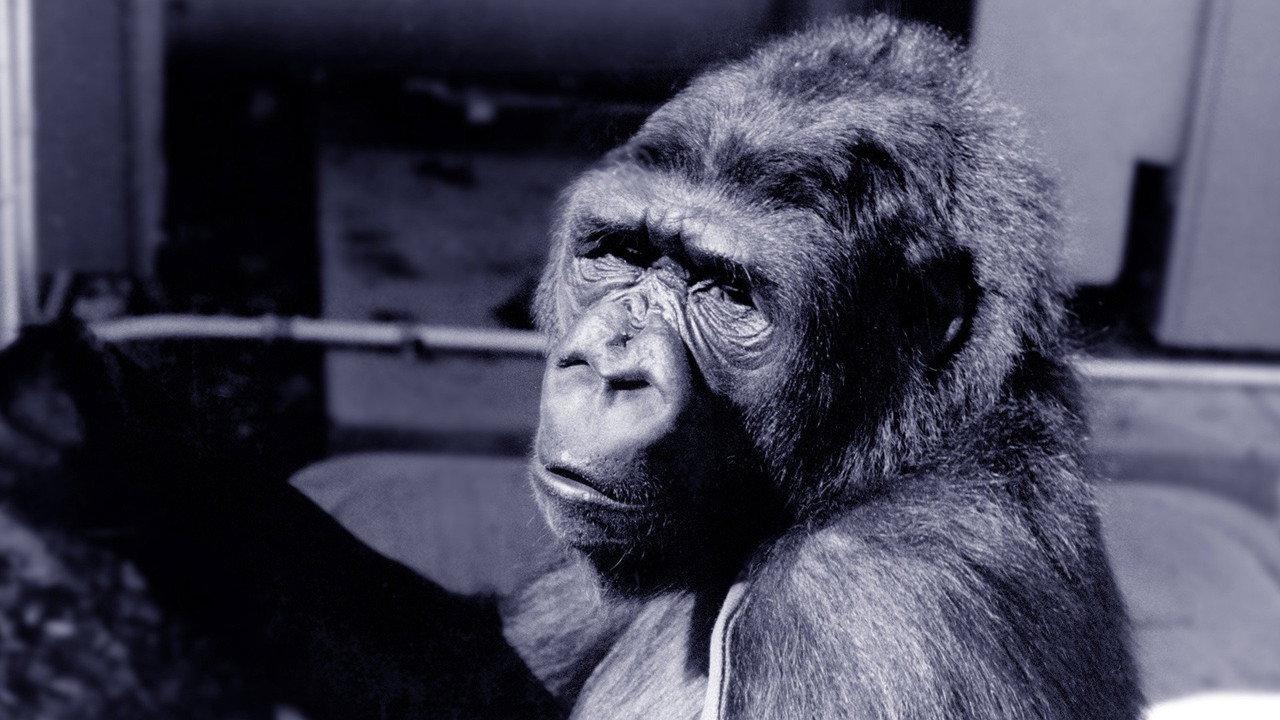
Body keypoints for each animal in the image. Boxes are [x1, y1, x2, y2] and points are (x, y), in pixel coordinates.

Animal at [0, 15, 1142, 720]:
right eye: (620, 253)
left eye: (727, 293)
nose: (608, 366)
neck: (880, 463)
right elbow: (466, 671)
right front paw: (103, 440)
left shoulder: (872, 619)